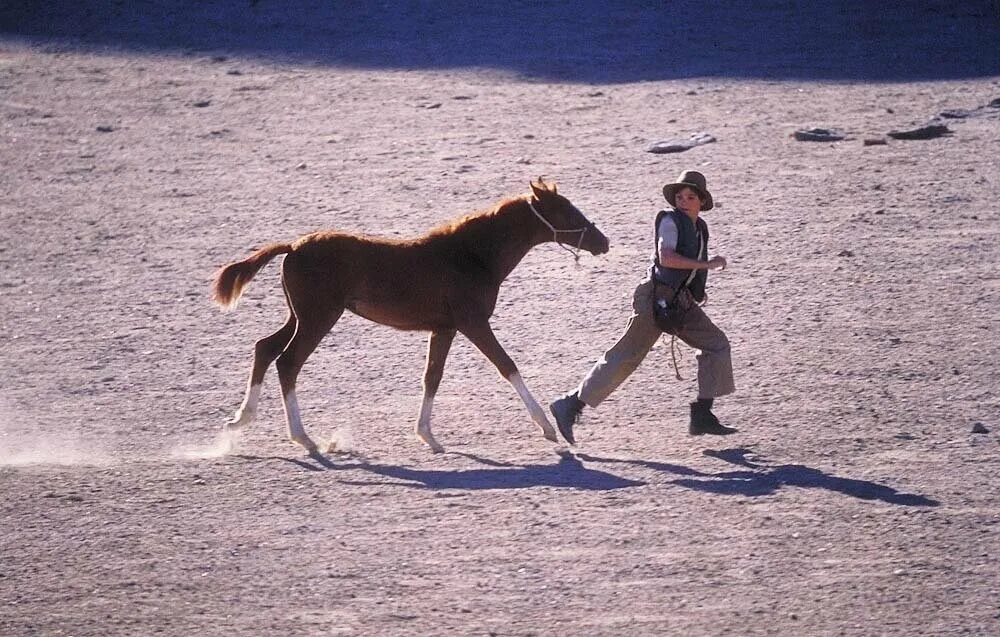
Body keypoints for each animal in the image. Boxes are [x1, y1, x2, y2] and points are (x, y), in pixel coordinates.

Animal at [211, 179, 608, 454]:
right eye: (567, 211)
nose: (603, 242)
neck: (470, 255)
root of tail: (293, 246)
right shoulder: (473, 323)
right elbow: (506, 365)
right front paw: (548, 428)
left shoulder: (445, 328)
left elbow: (432, 377)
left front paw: (428, 437)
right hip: (318, 318)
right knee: (287, 362)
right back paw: (304, 439)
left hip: (301, 317)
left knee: (265, 348)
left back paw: (241, 420)